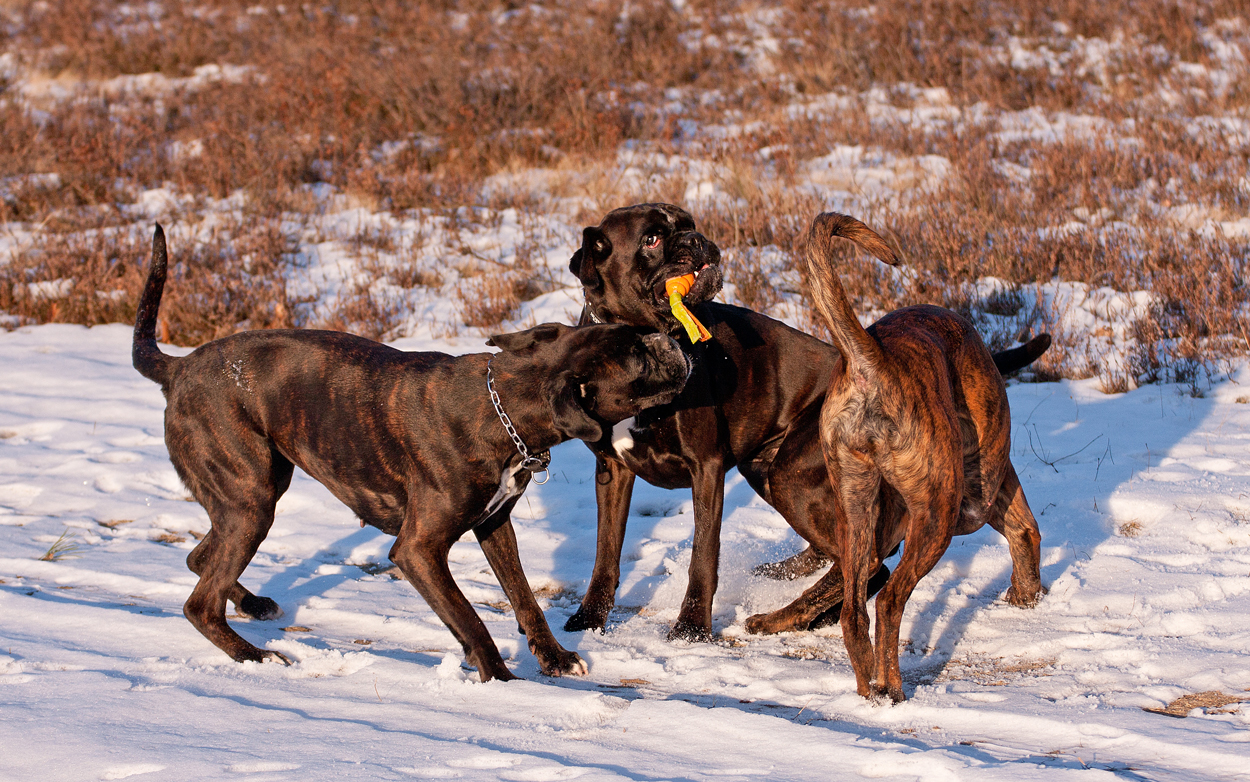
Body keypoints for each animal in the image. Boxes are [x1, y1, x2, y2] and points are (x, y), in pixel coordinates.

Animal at [134, 223, 695, 674]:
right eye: (637, 360)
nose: (668, 339)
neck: (503, 404)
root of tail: (178, 368)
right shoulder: (419, 550)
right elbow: (470, 620)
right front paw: (502, 681)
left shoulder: (494, 524)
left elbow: (524, 598)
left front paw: (554, 658)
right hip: (250, 500)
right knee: (199, 602)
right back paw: (254, 654)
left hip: (251, 497)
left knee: (200, 558)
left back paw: (253, 607)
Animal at [565, 202, 1045, 639]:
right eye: (651, 238)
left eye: (689, 223)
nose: (696, 239)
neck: (640, 345)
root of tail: (874, 364)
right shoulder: (612, 472)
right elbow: (605, 554)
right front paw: (589, 619)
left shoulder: (706, 468)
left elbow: (702, 556)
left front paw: (691, 628)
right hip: (767, 470)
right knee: (853, 558)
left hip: (792, 474)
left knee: (869, 561)